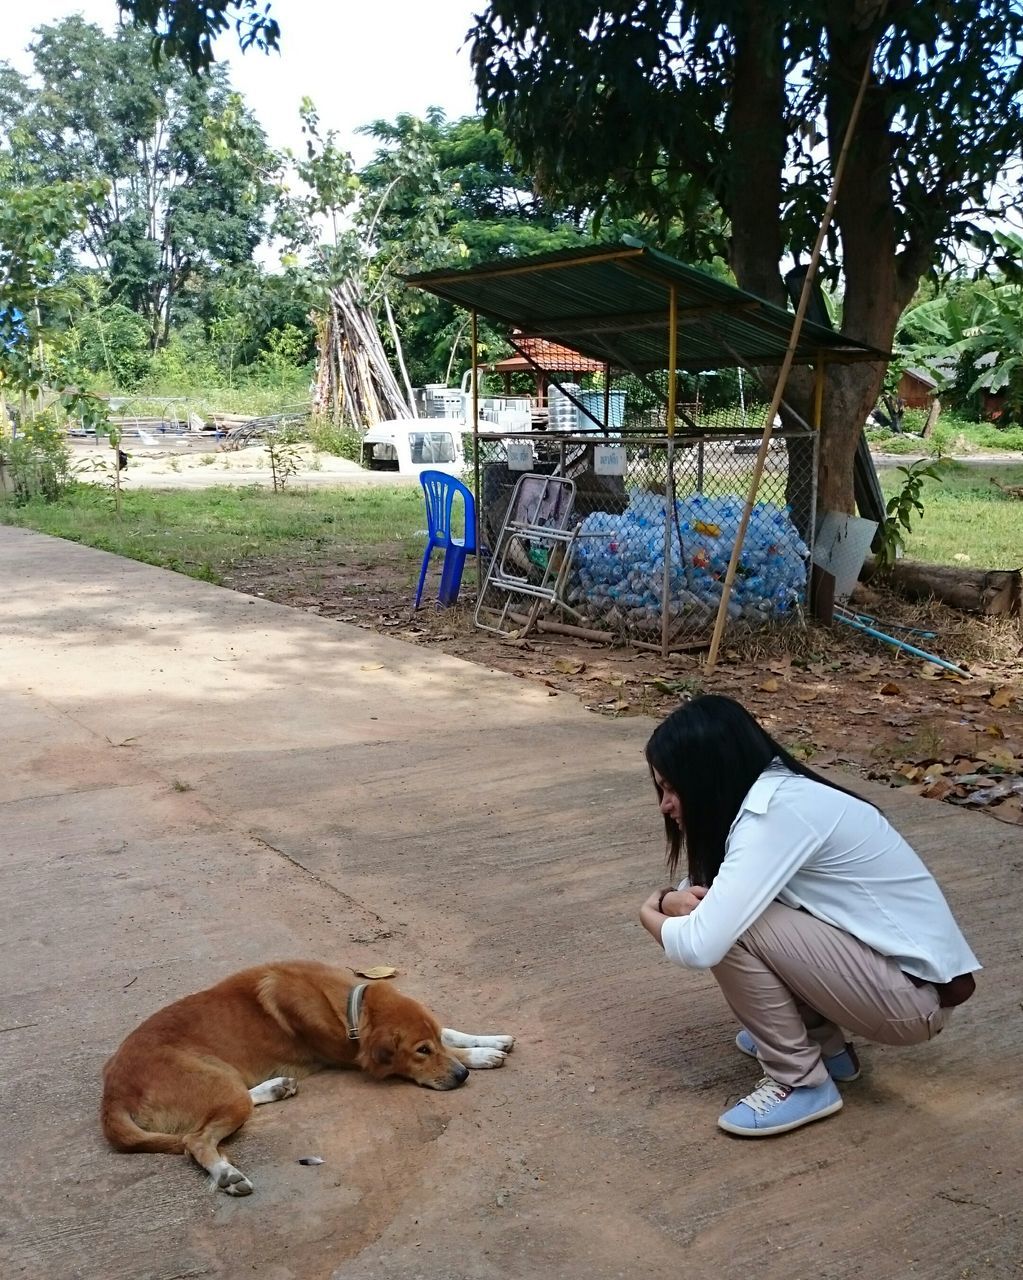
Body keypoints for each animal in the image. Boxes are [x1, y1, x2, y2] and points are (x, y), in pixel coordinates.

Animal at [101, 957, 517, 1192]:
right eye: (421, 1052)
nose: (461, 1077)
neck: (350, 1007)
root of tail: (112, 1091)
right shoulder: (356, 1058)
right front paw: (477, 1056)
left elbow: (450, 1031)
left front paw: (488, 1040)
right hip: (218, 1085)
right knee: (195, 1139)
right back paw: (226, 1175)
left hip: (228, 1085)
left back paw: (276, 1087)